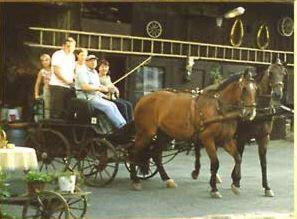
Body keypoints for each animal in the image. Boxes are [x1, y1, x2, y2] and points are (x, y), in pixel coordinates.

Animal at [192, 59, 286, 198]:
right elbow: (239, 155)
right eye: (270, 73)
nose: (277, 94)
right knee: (198, 147)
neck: (260, 110)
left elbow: (263, 162)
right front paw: (236, 181)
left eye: (283, 73)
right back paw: (197, 171)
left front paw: (267, 187)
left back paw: (215, 177)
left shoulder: (264, 137)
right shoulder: (241, 136)